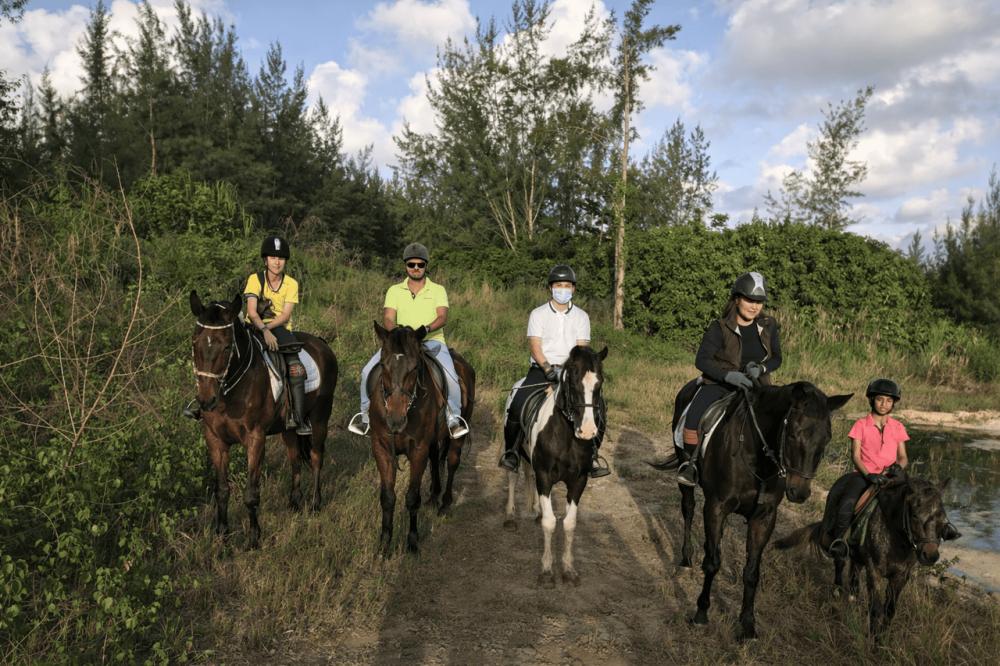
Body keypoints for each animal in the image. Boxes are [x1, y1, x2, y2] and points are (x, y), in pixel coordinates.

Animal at [190, 291, 338, 548]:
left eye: (227, 346)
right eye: (195, 343)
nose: (206, 401)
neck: (232, 390)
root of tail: (323, 345)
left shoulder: (255, 439)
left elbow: (251, 493)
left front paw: (253, 538)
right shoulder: (215, 440)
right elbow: (222, 490)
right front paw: (222, 533)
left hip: (320, 417)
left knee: (316, 458)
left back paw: (315, 504)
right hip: (289, 428)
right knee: (295, 459)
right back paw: (294, 502)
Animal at [368, 323, 475, 556]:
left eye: (415, 367)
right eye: (383, 365)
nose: (396, 419)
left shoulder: (418, 451)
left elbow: (411, 498)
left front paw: (412, 542)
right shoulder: (382, 449)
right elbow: (387, 498)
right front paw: (384, 544)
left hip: (456, 437)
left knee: (451, 462)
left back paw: (444, 504)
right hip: (433, 441)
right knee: (436, 459)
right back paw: (433, 497)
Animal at [504, 345, 608, 588]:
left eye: (599, 383)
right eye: (572, 382)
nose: (587, 431)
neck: (566, 434)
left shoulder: (578, 480)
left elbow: (569, 523)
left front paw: (568, 570)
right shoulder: (545, 476)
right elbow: (550, 523)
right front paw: (546, 571)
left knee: (528, 476)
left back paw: (535, 509)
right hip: (512, 445)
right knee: (512, 475)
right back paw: (510, 516)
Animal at [650, 381, 852, 639]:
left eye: (827, 438)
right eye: (793, 433)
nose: (799, 492)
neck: (755, 455)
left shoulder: (763, 518)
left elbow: (752, 572)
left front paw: (747, 625)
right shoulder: (716, 507)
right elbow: (712, 563)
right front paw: (701, 613)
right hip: (686, 478)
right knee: (688, 510)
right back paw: (686, 558)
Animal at [776, 476, 960, 636]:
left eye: (942, 517)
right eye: (915, 515)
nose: (930, 555)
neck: (896, 537)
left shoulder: (900, 576)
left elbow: (890, 610)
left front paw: (883, 640)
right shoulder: (874, 571)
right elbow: (876, 609)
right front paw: (873, 639)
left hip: (858, 556)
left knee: (854, 576)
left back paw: (852, 601)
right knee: (840, 563)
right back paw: (837, 593)